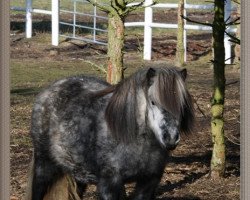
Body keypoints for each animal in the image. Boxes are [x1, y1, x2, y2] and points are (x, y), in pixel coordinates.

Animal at [28, 66, 193, 199]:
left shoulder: (149, 182)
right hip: (44, 165)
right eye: (153, 101)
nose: (171, 138)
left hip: (78, 172)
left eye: (182, 104)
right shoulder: (109, 184)